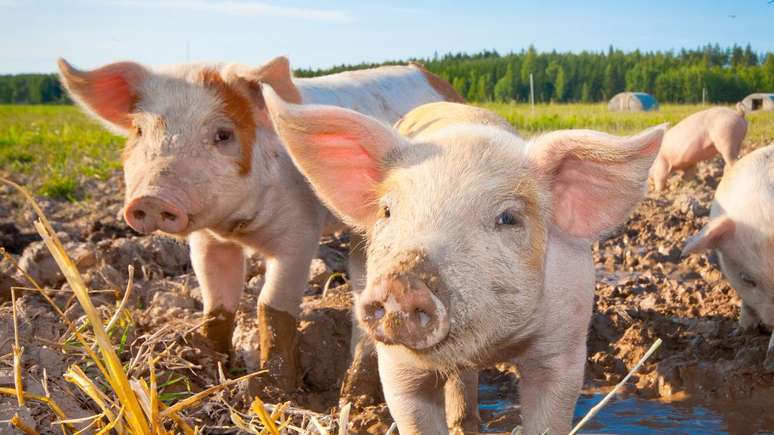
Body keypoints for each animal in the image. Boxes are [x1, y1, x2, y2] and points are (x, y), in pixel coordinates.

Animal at [57, 56, 463, 390]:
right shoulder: (208, 241)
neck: (238, 227)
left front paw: (274, 390)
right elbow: (216, 304)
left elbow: (272, 306)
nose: (152, 200)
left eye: (223, 134)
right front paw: (214, 368)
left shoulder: (300, 233)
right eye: (140, 131)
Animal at [263, 88, 665, 434]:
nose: (401, 283)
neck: (491, 345)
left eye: (508, 218)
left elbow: (550, 415)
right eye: (388, 210)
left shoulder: (565, 344)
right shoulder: (398, 366)